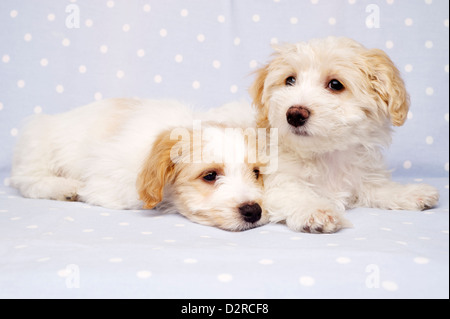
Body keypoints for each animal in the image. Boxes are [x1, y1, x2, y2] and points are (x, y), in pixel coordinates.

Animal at [10, 99, 268, 231]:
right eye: (210, 175)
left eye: (256, 173)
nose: (254, 211)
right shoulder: (108, 183)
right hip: (38, 144)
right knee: (27, 180)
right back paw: (64, 188)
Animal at [250, 37, 440, 235]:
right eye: (290, 80)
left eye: (335, 85)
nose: (294, 114)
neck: (326, 155)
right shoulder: (278, 181)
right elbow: (296, 194)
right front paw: (315, 211)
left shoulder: (362, 179)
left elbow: (381, 188)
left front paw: (411, 192)